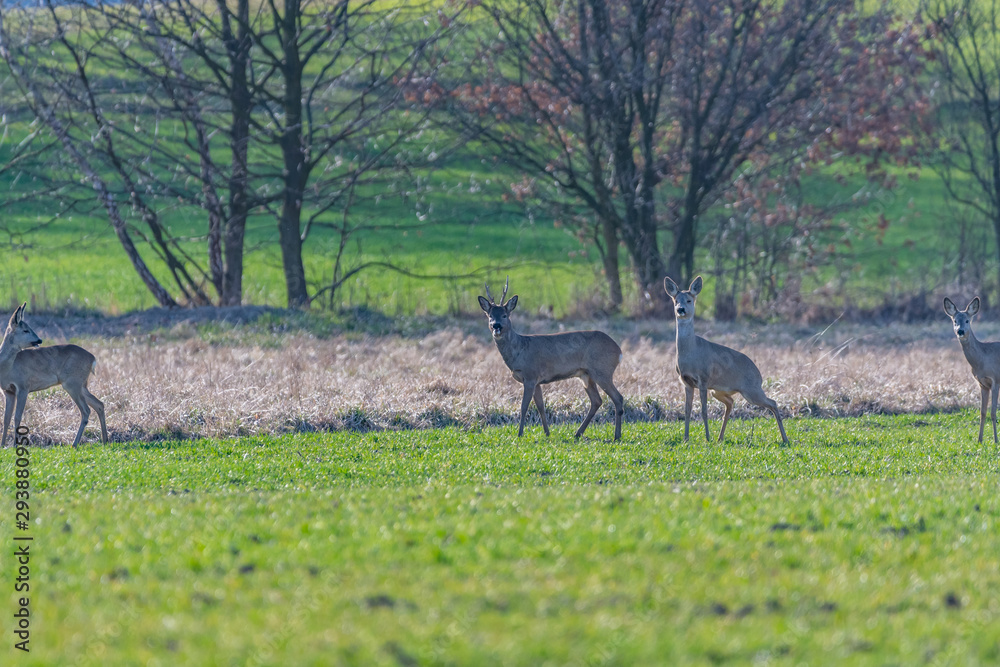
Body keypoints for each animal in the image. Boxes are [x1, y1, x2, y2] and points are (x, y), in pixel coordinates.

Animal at [0, 303, 107, 447]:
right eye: (25, 330)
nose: (39, 339)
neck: (9, 366)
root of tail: (93, 358)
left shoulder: (23, 387)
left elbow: (17, 417)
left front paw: (15, 445)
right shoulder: (8, 391)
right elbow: (6, 418)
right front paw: (2, 445)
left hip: (72, 383)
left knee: (86, 411)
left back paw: (75, 444)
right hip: (81, 384)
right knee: (99, 404)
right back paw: (105, 440)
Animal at [478, 278, 625, 440]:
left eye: (504, 315)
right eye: (490, 316)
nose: (496, 326)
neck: (519, 351)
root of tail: (618, 350)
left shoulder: (530, 375)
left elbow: (524, 407)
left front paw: (520, 434)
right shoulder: (537, 381)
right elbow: (540, 406)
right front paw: (547, 433)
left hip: (602, 370)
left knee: (618, 398)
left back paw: (616, 436)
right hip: (586, 374)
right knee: (597, 401)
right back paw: (578, 433)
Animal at [664, 276, 788, 444]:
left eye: (689, 300)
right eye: (676, 300)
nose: (680, 309)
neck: (691, 353)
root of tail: (759, 374)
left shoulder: (703, 379)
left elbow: (704, 410)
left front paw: (707, 438)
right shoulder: (686, 382)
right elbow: (687, 410)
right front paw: (686, 439)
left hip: (751, 390)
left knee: (772, 402)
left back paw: (785, 439)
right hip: (718, 390)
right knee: (730, 403)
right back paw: (720, 437)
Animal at [943, 296, 1000, 444]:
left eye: (967, 320)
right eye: (955, 321)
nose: (960, 331)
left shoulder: (996, 380)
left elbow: (993, 412)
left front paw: (996, 440)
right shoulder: (982, 384)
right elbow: (982, 412)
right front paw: (979, 440)